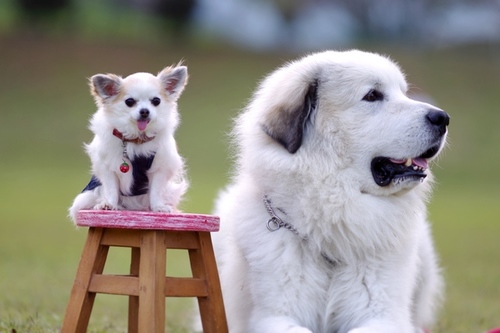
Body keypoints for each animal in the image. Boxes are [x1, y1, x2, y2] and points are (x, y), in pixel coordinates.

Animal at [68, 64, 188, 220]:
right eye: (129, 102)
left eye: (156, 101)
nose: (144, 111)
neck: (137, 139)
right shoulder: (107, 168)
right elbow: (111, 189)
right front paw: (109, 205)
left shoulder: (160, 169)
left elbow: (155, 191)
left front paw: (158, 207)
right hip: (86, 196)